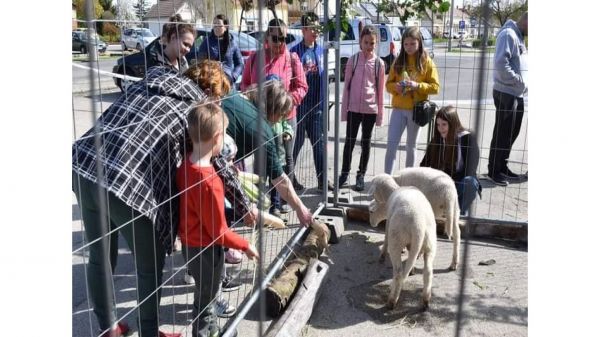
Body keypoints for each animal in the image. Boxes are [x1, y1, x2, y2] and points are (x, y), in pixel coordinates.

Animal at [366, 175, 436, 308]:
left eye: (371, 211)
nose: (371, 224)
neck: (393, 191)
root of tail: (418, 225)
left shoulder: (389, 223)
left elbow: (385, 239)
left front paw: (382, 256)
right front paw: (412, 268)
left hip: (396, 239)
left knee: (398, 273)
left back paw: (392, 301)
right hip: (429, 243)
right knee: (428, 272)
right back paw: (425, 300)